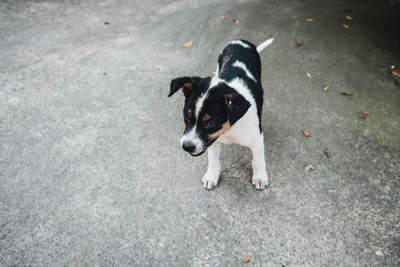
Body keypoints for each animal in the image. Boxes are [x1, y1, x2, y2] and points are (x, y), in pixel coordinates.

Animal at [167, 37, 274, 191]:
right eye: (186, 116)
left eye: (211, 123)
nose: (186, 146)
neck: (229, 129)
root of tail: (240, 40)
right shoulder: (212, 142)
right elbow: (213, 160)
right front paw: (211, 176)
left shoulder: (257, 140)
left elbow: (258, 160)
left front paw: (260, 177)